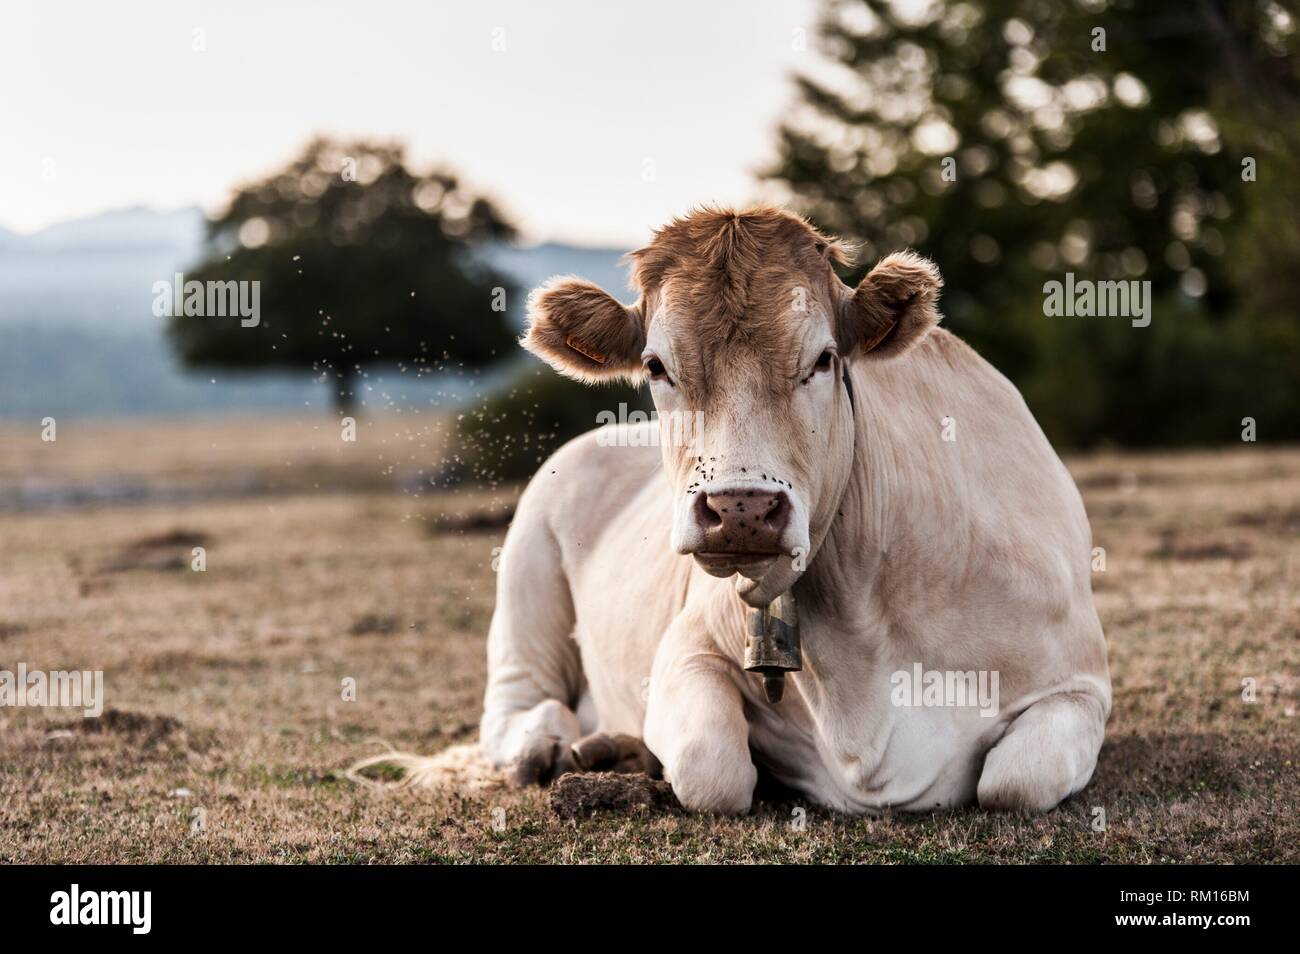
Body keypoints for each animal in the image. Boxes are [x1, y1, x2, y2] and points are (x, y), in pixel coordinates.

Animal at [468, 207, 1109, 813]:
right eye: (655, 366)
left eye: (823, 359)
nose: (740, 507)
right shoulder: (688, 649)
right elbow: (711, 764)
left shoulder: (1080, 686)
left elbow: (1018, 779)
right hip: (526, 583)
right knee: (518, 706)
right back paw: (551, 748)